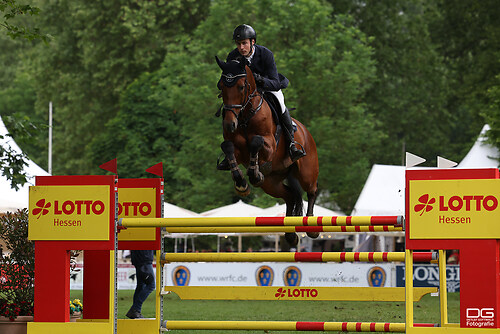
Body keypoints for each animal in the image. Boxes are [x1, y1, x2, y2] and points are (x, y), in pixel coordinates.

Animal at [216, 56, 320, 247]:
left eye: (240, 86)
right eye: (221, 86)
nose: (229, 124)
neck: (244, 117)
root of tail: (306, 132)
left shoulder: (270, 145)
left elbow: (256, 142)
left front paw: (254, 172)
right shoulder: (237, 149)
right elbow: (227, 147)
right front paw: (242, 183)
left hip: (307, 172)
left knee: (312, 190)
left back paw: (311, 228)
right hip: (271, 183)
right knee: (289, 196)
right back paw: (291, 235)